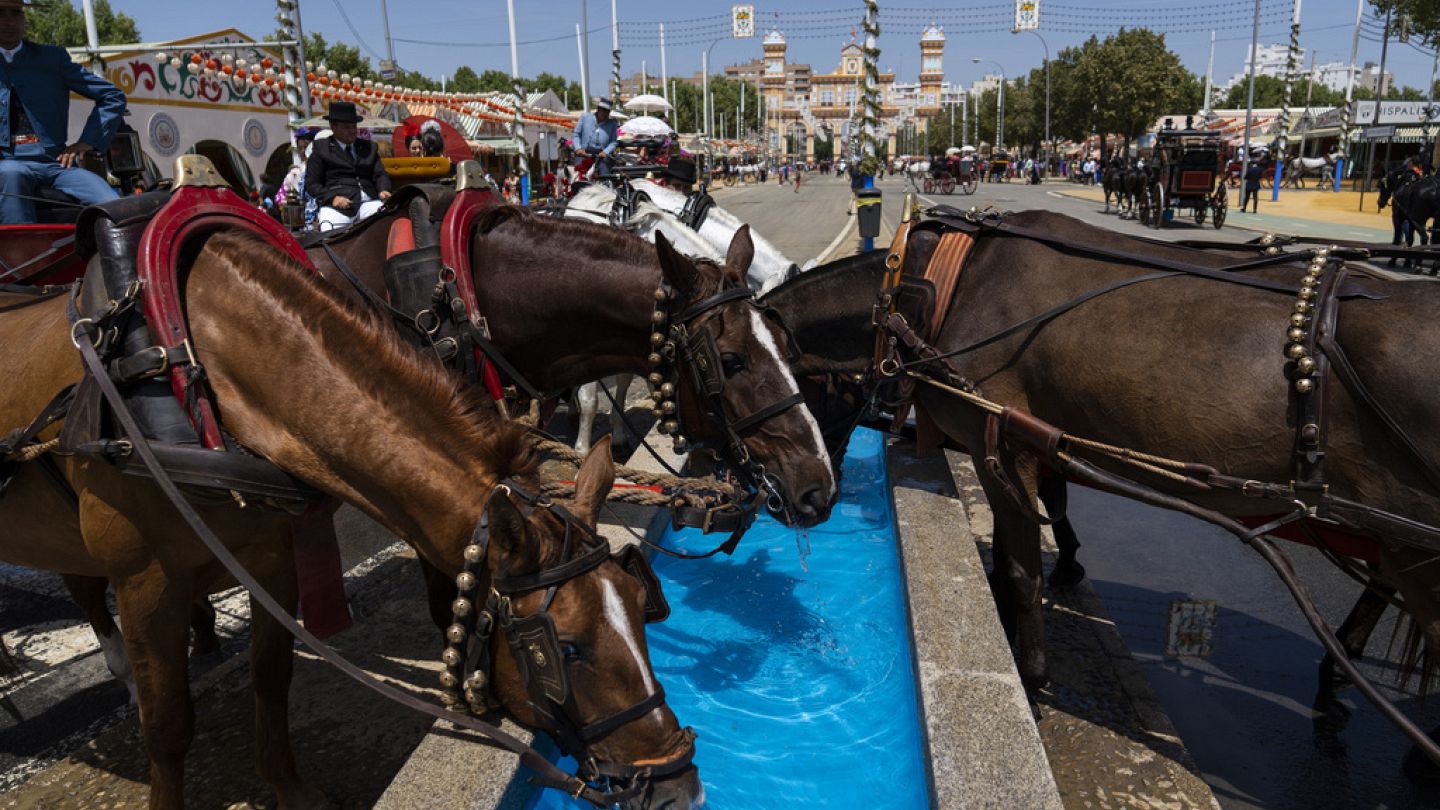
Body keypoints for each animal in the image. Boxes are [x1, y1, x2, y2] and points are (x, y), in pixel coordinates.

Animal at [0, 229, 699, 807]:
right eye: (567, 648)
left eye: (641, 607)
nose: (679, 787)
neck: (200, 374)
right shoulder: (147, 582)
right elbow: (168, 726)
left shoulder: (274, 558)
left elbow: (272, 677)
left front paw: (290, 790)